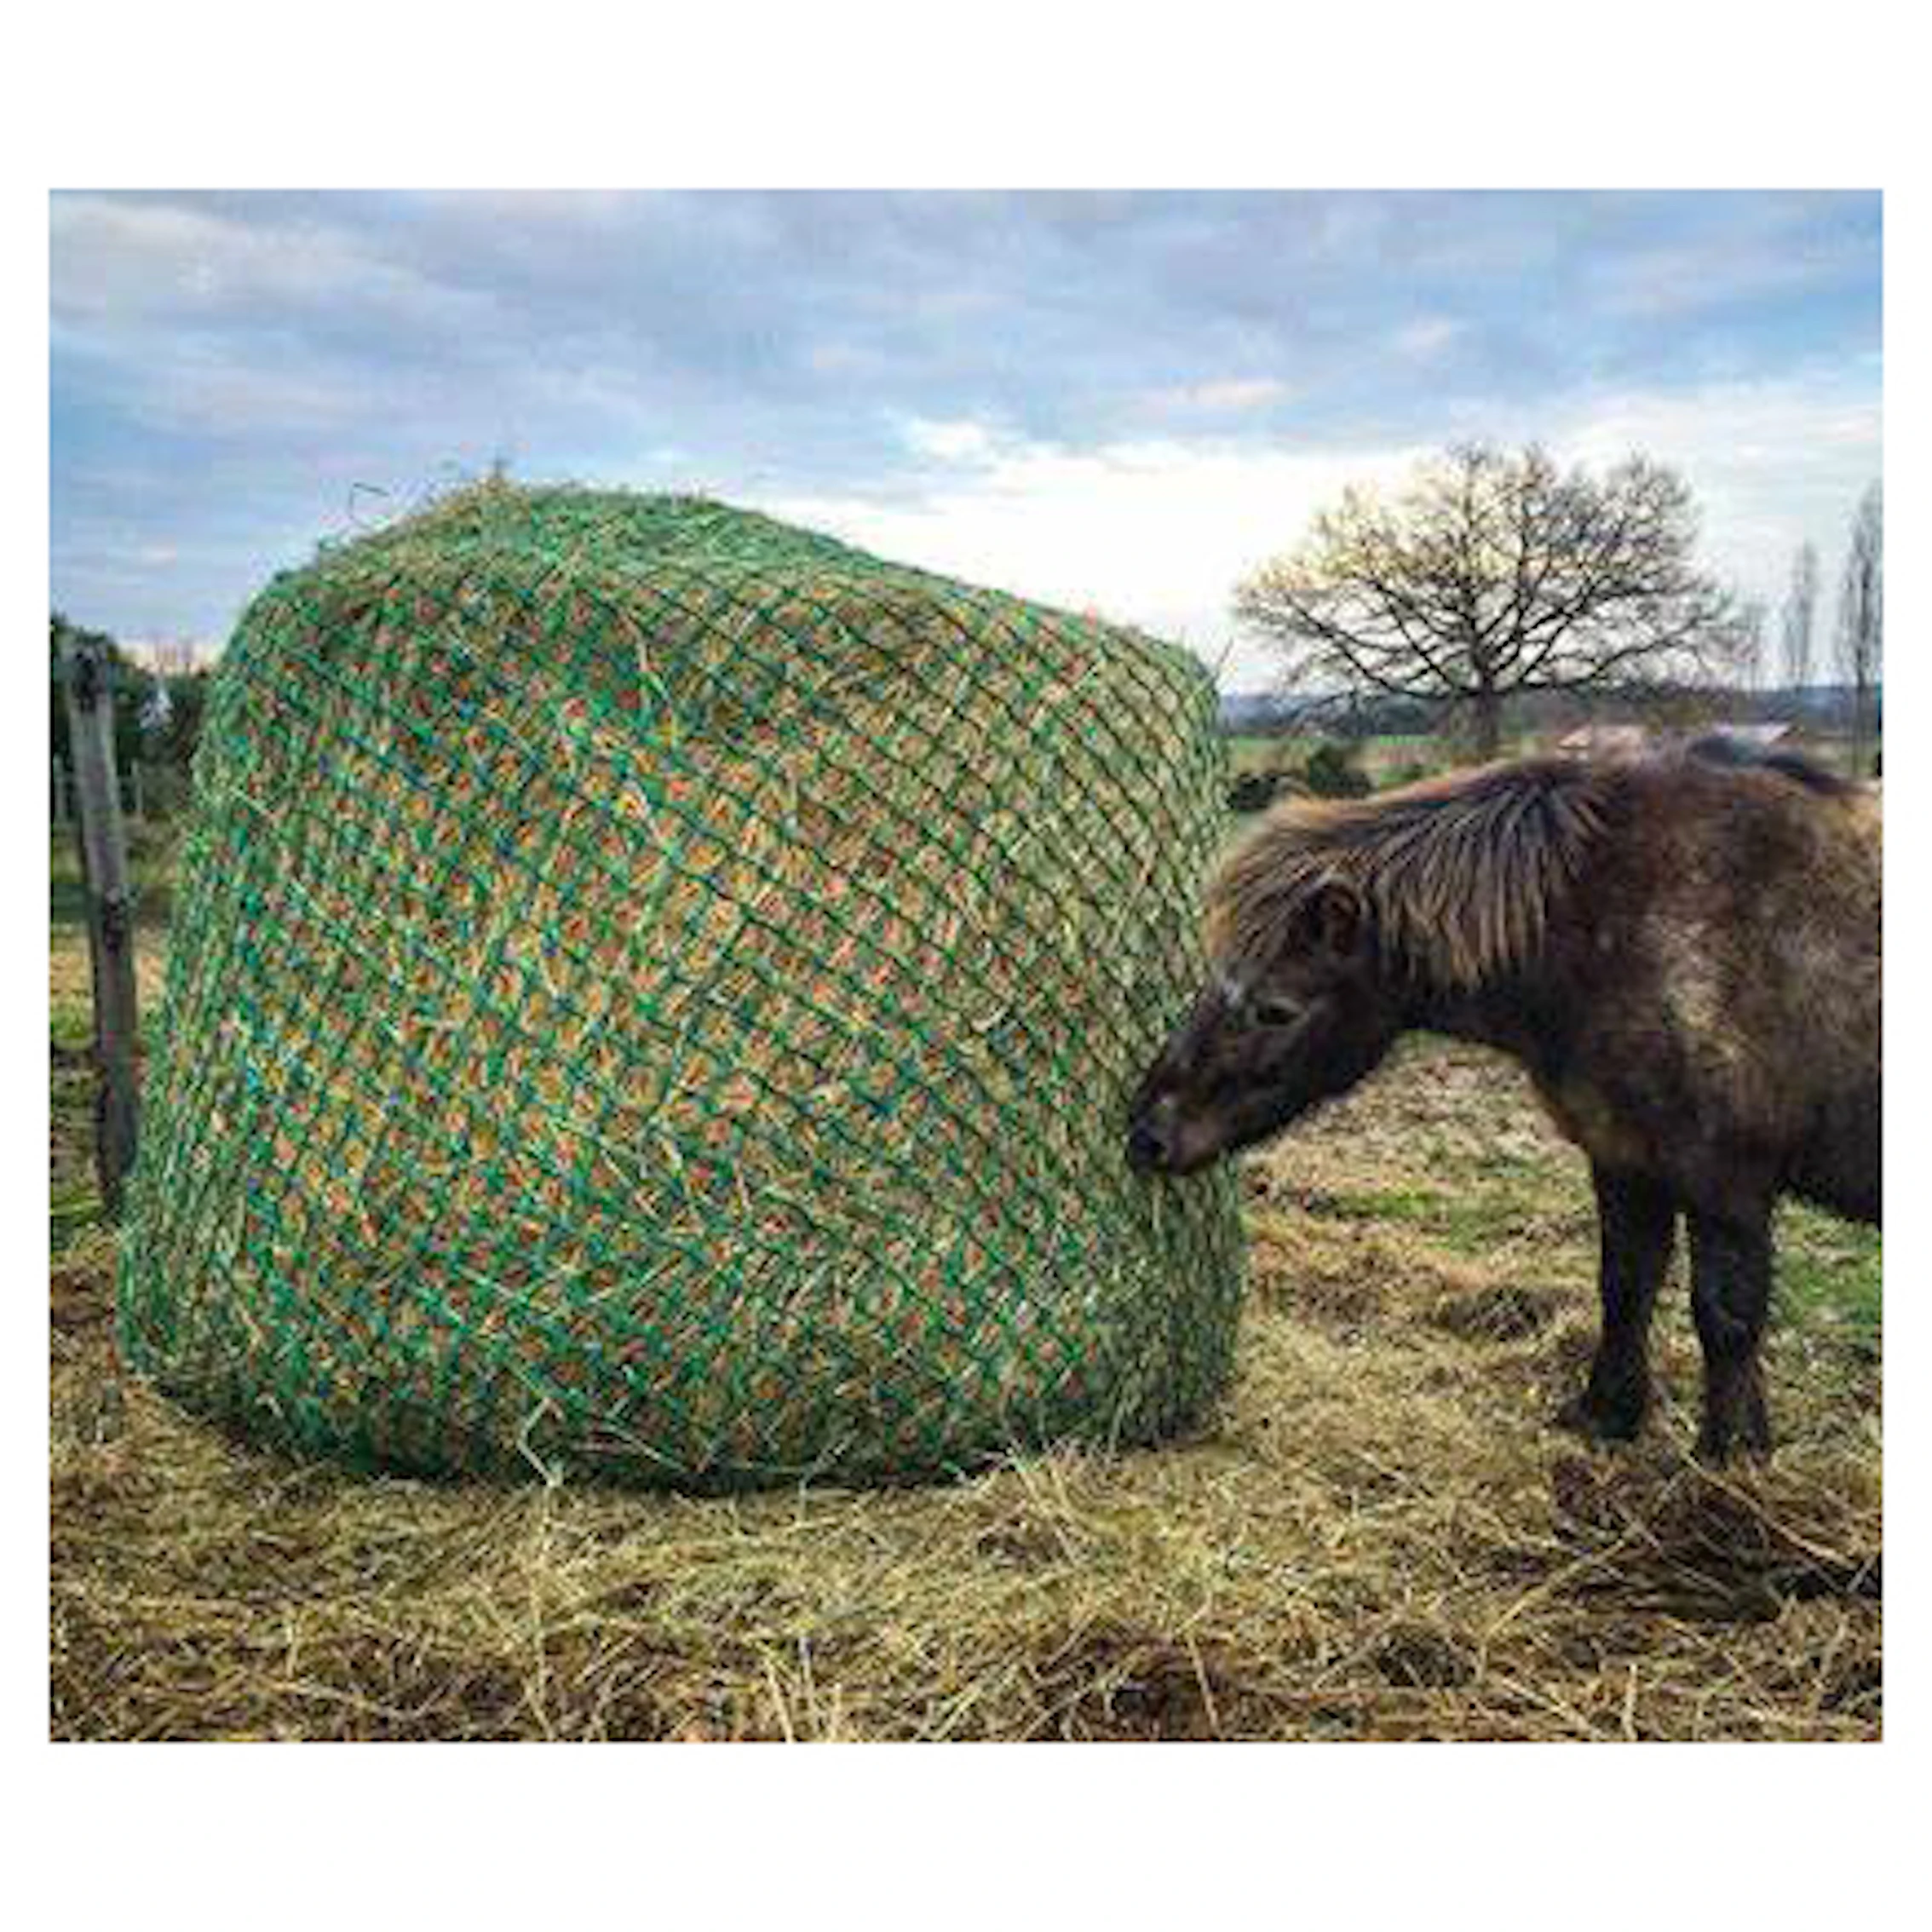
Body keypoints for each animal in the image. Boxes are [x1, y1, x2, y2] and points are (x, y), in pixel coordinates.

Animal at [1126, 740, 1881, 1462]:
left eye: (1275, 1010)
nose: (1147, 1134)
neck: (1617, 920)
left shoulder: (1727, 1180)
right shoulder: (1624, 1157)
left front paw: (1730, 1458)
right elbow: (1625, 1286)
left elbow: (1726, 1316)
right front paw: (1606, 1414)